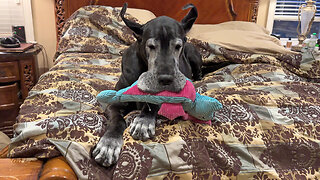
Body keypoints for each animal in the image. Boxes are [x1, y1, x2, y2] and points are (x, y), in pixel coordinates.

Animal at [92, 2, 202, 167]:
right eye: (151, 46)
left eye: (177, 46)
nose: (166, 79)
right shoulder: (114, 104)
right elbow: (117, 120)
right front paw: (109, 144)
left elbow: (153, 103)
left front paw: (143, 121)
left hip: (194, 55)